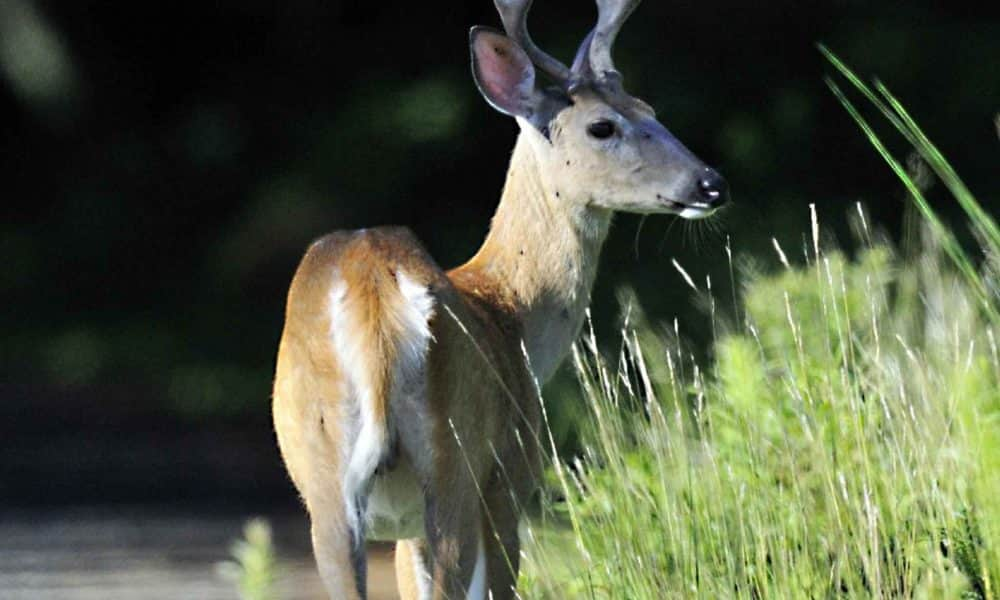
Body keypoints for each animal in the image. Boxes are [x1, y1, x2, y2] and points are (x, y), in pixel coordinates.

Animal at [270, 0, 732, 596]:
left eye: (649, 107)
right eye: (602, 126)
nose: (710, 184)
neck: (511, 315)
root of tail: (374, 299)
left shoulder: (403, 531)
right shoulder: (510, 477)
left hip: (327, 485)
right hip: (456, 466)